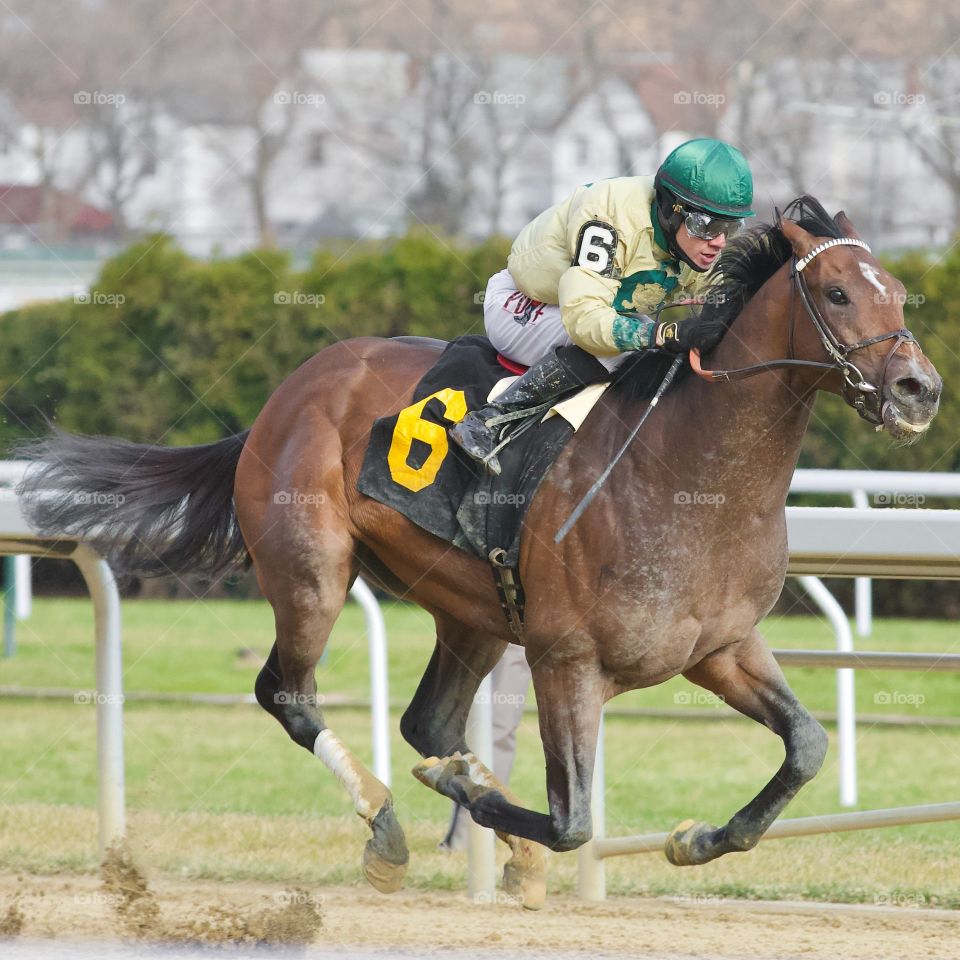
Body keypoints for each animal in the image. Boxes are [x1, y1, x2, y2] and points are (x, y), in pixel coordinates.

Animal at [18, 197, 940, 908]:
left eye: (897, 293)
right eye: (835, 292)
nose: (918, 389)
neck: (688, 476)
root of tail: (286, 394)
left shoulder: (721, 648)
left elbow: (806, 746)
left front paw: (695, 838)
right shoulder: (568, 658)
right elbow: (572, 820)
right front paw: (469, 800)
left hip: (473, 611)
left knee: (424, 717)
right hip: (312, 573)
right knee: (286, 694)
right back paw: (388, 823)